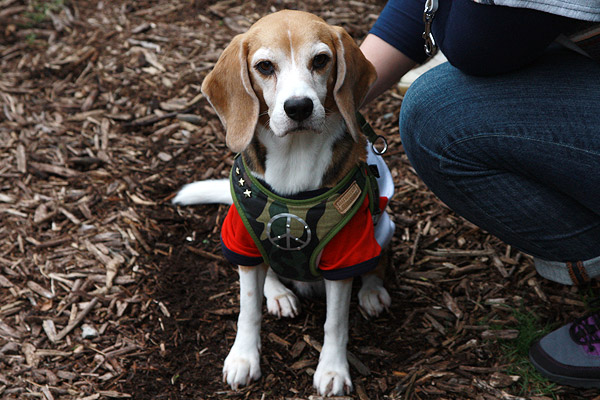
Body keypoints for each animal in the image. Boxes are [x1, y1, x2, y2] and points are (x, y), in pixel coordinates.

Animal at [173, 10, 396, 396]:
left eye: (320, 60)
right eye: (264, 66)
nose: (299, 107)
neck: (295, 156)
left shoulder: (345, 255)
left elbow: (336, 322)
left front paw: (333, 369)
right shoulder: (243, 241)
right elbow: (248, 309)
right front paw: (244, 357)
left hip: (381, 227)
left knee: (375, 263)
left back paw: (372, 292)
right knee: (268, 274)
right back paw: (279, 293)